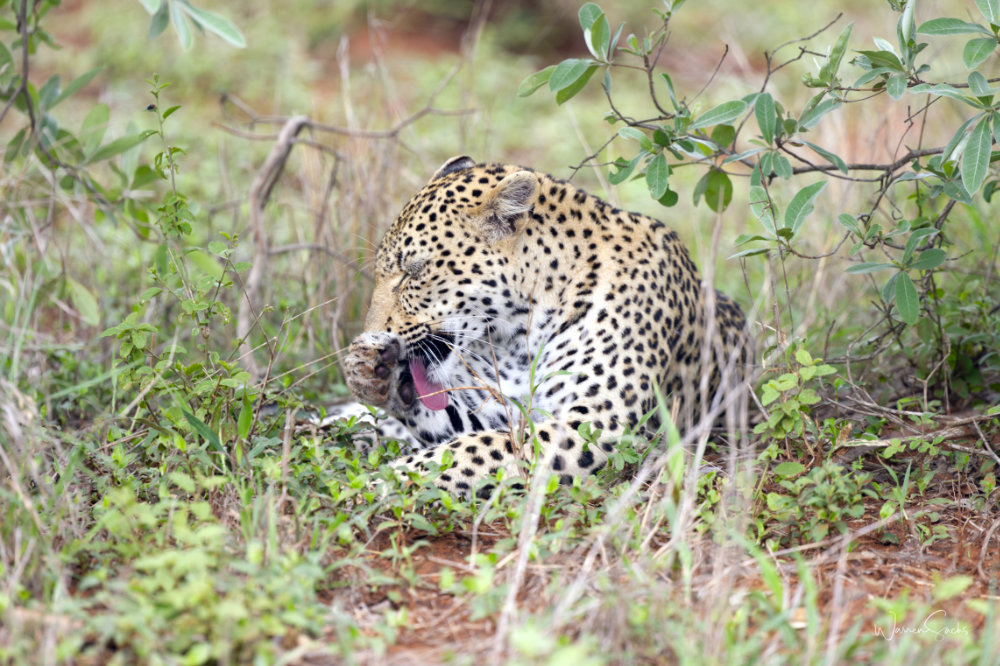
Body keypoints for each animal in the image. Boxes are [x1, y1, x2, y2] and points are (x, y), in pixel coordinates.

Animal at [338, 155, 750, 497]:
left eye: (413, 272)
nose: (374, 332)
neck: (519, 334)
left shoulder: (597, 425)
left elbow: (471, 451)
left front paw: (384, 479)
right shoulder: (499, 409)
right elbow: (455, 430)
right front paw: (371, 372)